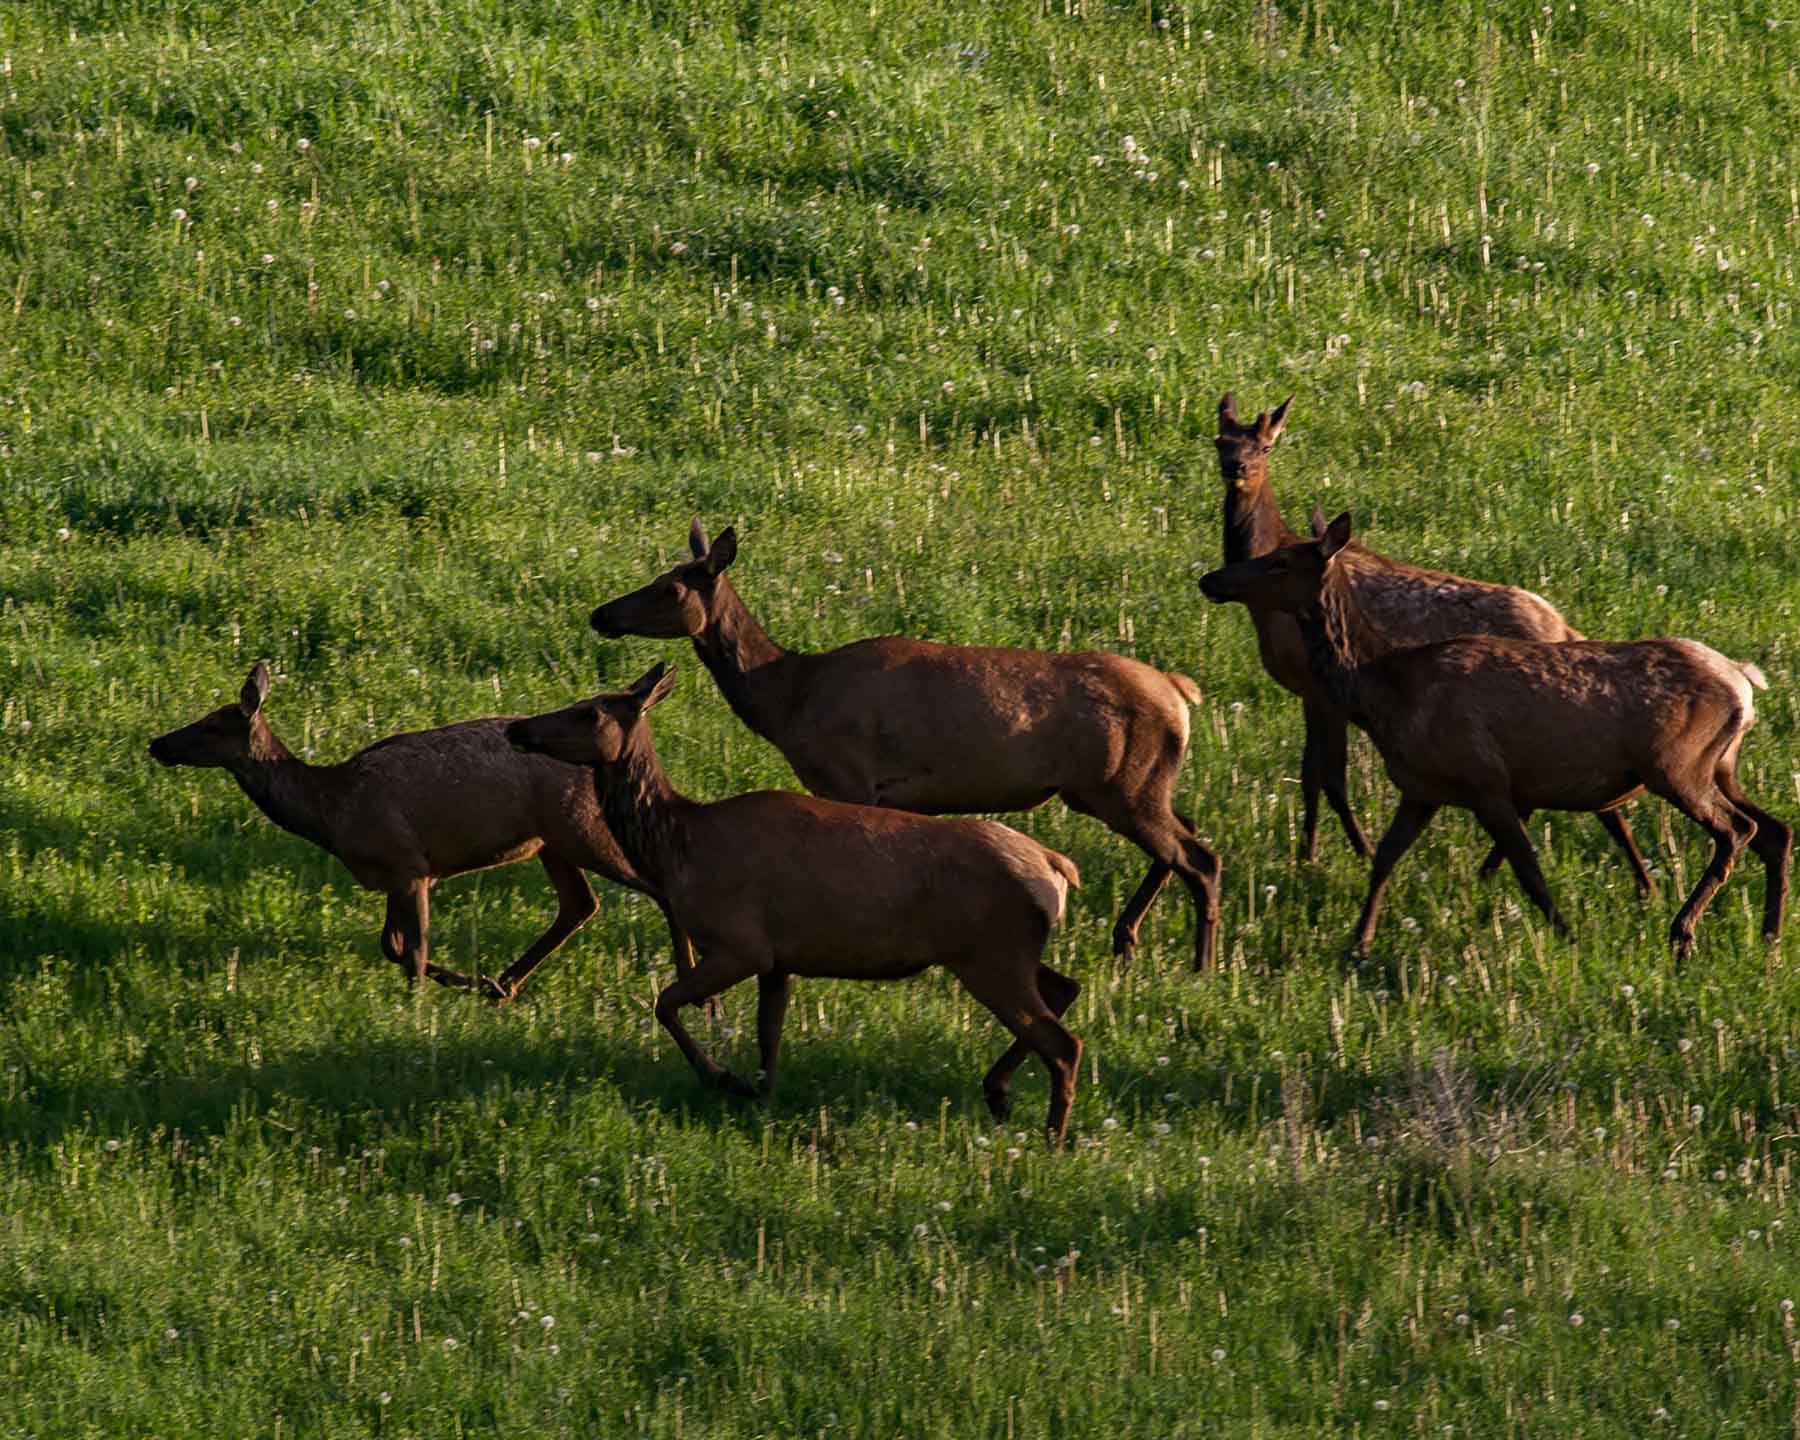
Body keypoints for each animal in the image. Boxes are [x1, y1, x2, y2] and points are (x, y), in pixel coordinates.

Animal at [147, 662, 694, 1001]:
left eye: (213, 725)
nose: (158, 743)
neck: (330, 810)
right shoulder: (400, 872)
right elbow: (391, 946)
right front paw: (460, 983)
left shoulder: (408, 863)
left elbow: (411, 951)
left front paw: (419, 1007)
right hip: (552, 840)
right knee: (579, 904)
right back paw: (502, 985)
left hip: (580, 826)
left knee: (652, 885)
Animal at [505, 663, 1086, 1142]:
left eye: (589, 711)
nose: (518, 728)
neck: (679, 847)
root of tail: (1057, 869)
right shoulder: (778, 960)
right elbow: (769, 1037)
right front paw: (762, 1099)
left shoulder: (739, 943)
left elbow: (665, 1002)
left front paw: (725, 1079)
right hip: (1006, 952)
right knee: (1066, 988)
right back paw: (999, 1091)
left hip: (989, 954)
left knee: (1064, 1043)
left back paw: (1051, 1137)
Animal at [588, 519, 1222, 970]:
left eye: (669, 587)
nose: (600, 615)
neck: (788, 698)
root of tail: (1179, 693)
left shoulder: (848, 775)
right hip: (1129, 785)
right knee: (1184, 839)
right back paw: (1127, 940)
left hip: (1119, 784)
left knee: (1198, 857)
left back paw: (1201, 964)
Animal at [1199, 512, 1790, 958]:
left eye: (1280, 561)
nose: (1211, 578)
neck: (1383, 694)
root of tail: (1744, 682)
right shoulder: (1422, 788)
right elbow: (1386, 857)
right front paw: (1358, 942)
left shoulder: (1485, 780)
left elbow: (1529, 869)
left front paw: (1567, 934)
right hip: (1721, 765)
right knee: (1774, 830)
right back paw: (1770, 932)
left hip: (1676, 764)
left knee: (1736, 830)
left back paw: (1683, 930)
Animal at [1213, 393, 1652, 891]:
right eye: (1219, 441)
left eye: (1266, 446)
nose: (1237, 467)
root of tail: (1563, 627)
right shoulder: (1313, 692)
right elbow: (1314, 774)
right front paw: (1315, 853)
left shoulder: (1319, 689)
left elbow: (1326, 776)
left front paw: (1332, 854)